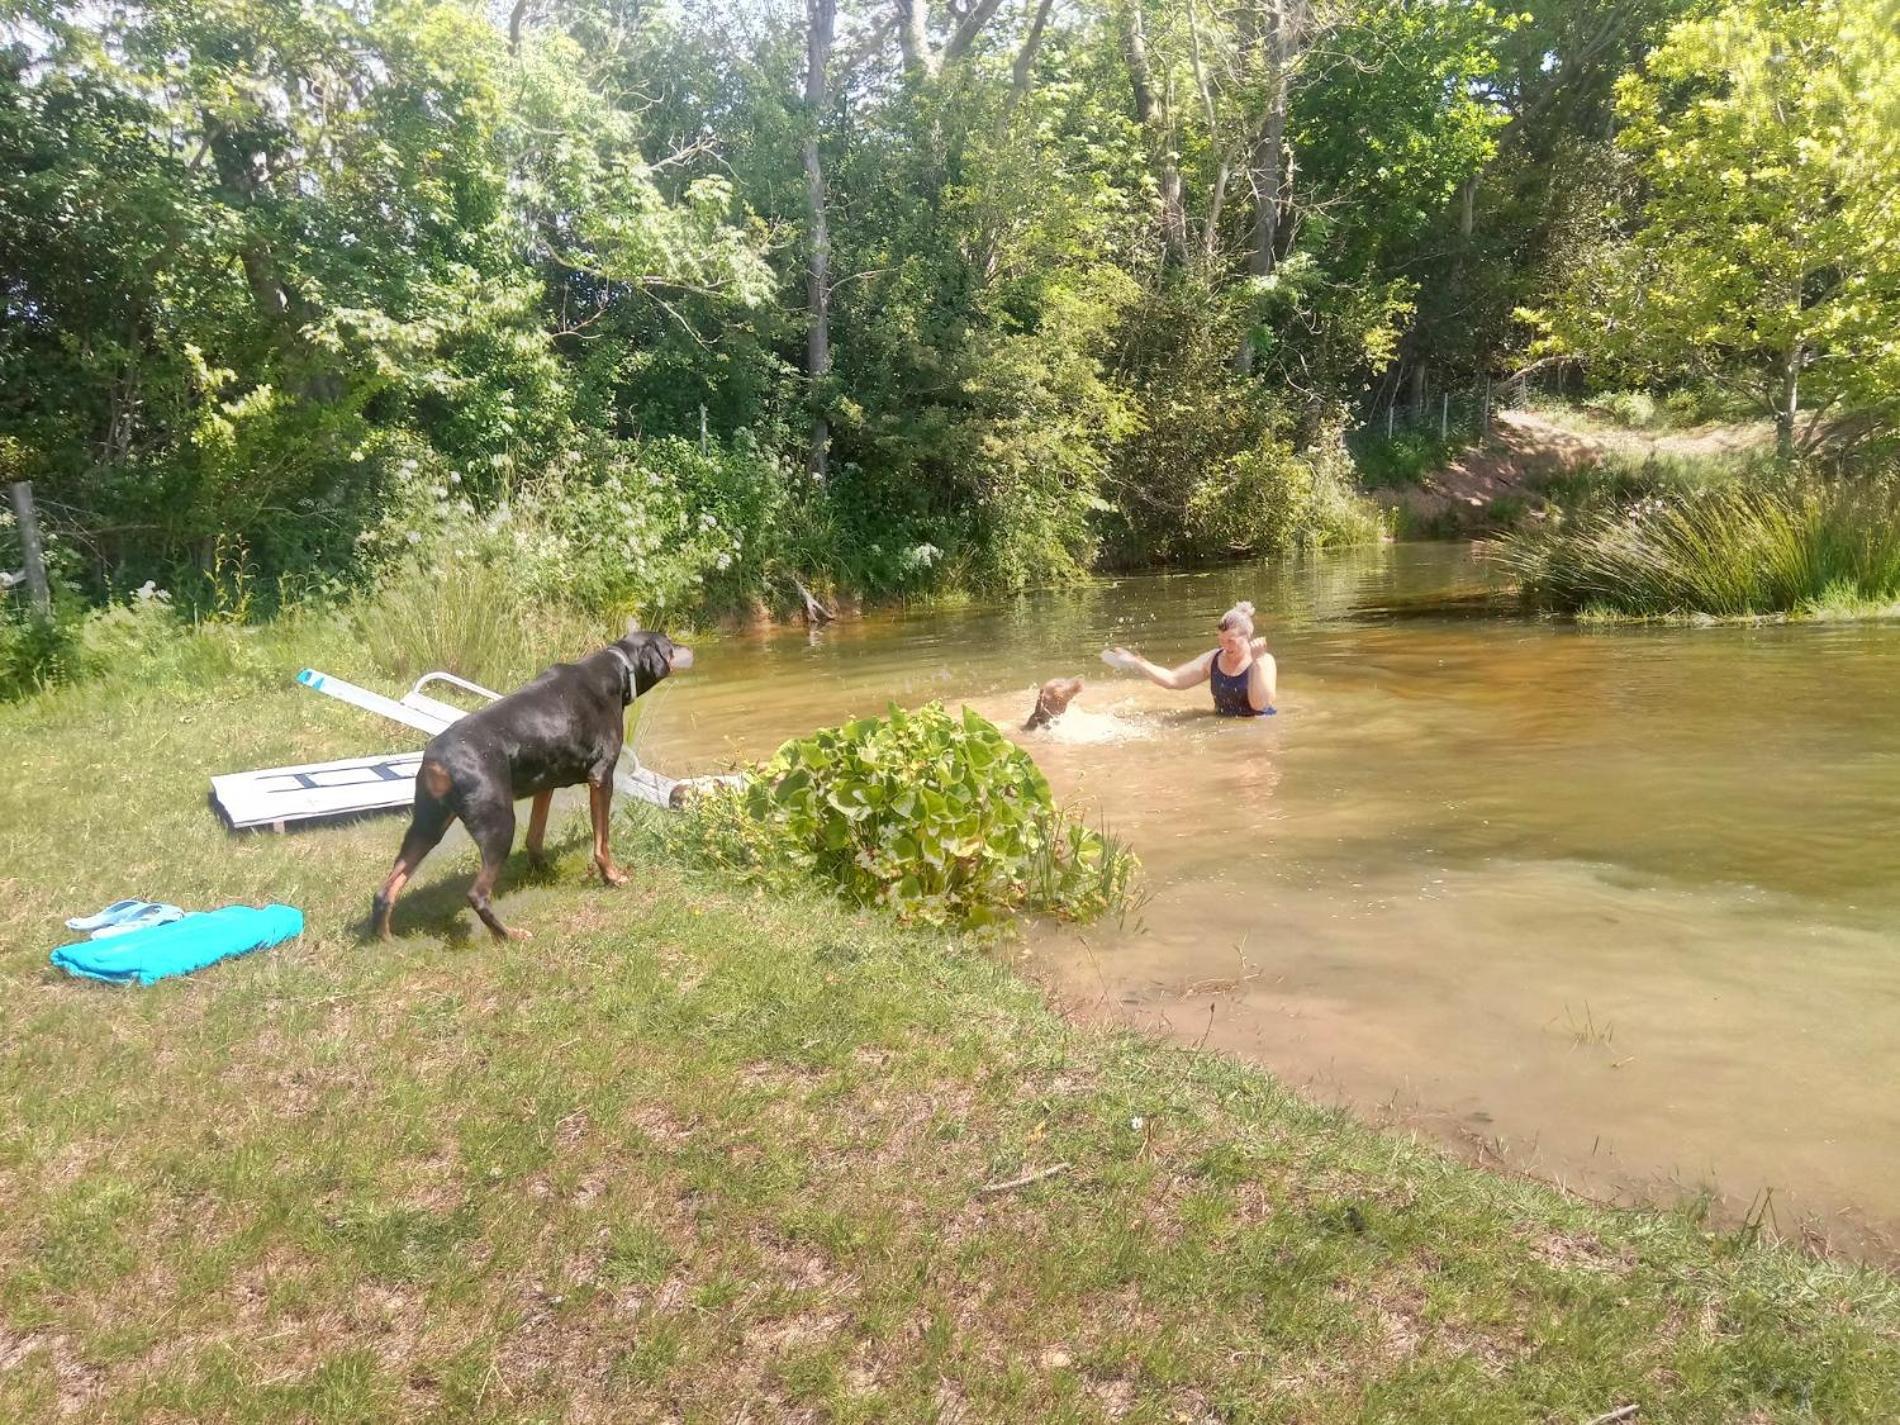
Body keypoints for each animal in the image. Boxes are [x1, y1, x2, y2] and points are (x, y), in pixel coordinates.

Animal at [370, 630, 691, 942]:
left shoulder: (545, 783)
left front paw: (543, 869)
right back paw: (509, 935)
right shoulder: (602, 777)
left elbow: (535, 836)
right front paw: (613, 877)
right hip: (498, 825)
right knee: (477, 894)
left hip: (428, 825)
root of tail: (437, 761)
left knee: (385, 890)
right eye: (669, 643)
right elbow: (602, 843)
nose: (688, 647)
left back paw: (387, 941)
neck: (618, 671)